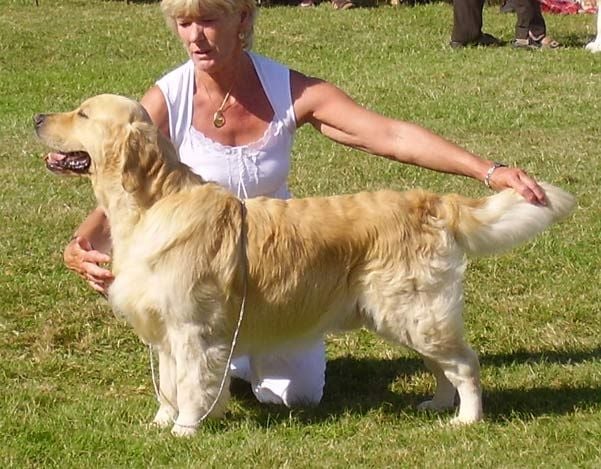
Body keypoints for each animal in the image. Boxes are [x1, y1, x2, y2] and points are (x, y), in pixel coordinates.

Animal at [34, 94, 575, 437]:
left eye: (82, 113)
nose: (37, 117)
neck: (150, 204)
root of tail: (430, 201)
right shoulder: (166, 330)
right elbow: (168, 384)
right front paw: (160, 423)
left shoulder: (192, 330)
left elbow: (189, 384)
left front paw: (186, 429)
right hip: (405, 316)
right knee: (442, 366)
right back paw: (439, 405)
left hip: (415, 311)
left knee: (465, 363)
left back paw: (466, 419)